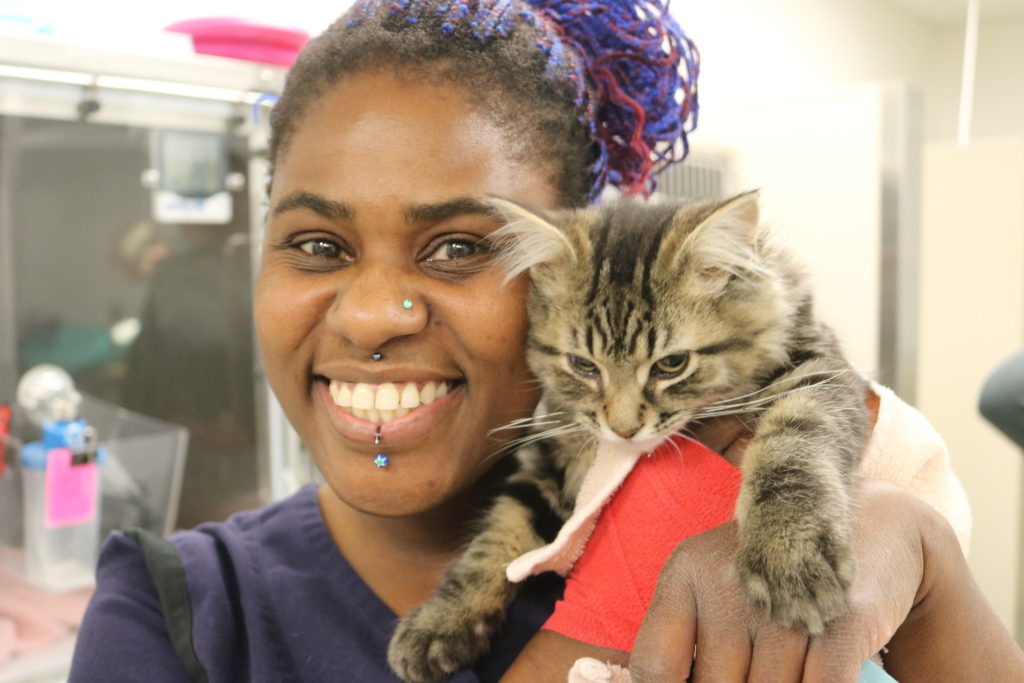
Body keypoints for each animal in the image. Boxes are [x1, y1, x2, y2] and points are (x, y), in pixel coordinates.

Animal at [387, 192, 868, 683]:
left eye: (672, 364)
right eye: (583, 366)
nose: (623, 430)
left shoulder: (818, 371)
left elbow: (792, 447)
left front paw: (788, 552)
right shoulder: (547, 456)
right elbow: (496, 537)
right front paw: (439, 623)